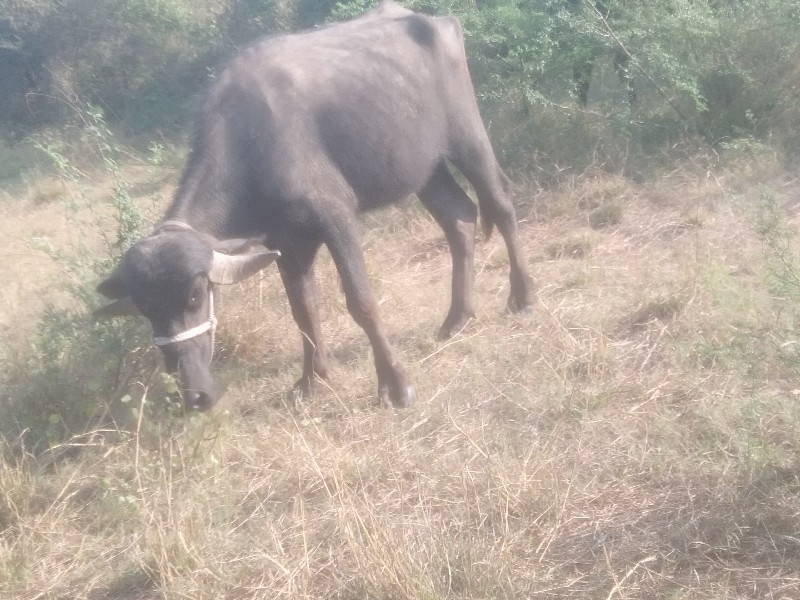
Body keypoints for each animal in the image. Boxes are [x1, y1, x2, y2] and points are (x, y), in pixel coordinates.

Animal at [97, 0, 536, 410]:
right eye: (145, 309)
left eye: (193, 295)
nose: (195, 397)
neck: (251, 144)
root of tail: (438, 22)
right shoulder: (287, 242)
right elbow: (303, 310)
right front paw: (312, 379)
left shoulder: (335, 218)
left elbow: (360, 301)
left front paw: (395, 384)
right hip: (424, 167)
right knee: (459, 218)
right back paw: (457, 318)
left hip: (467, 137)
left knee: (501, 201)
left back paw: (523, 296)